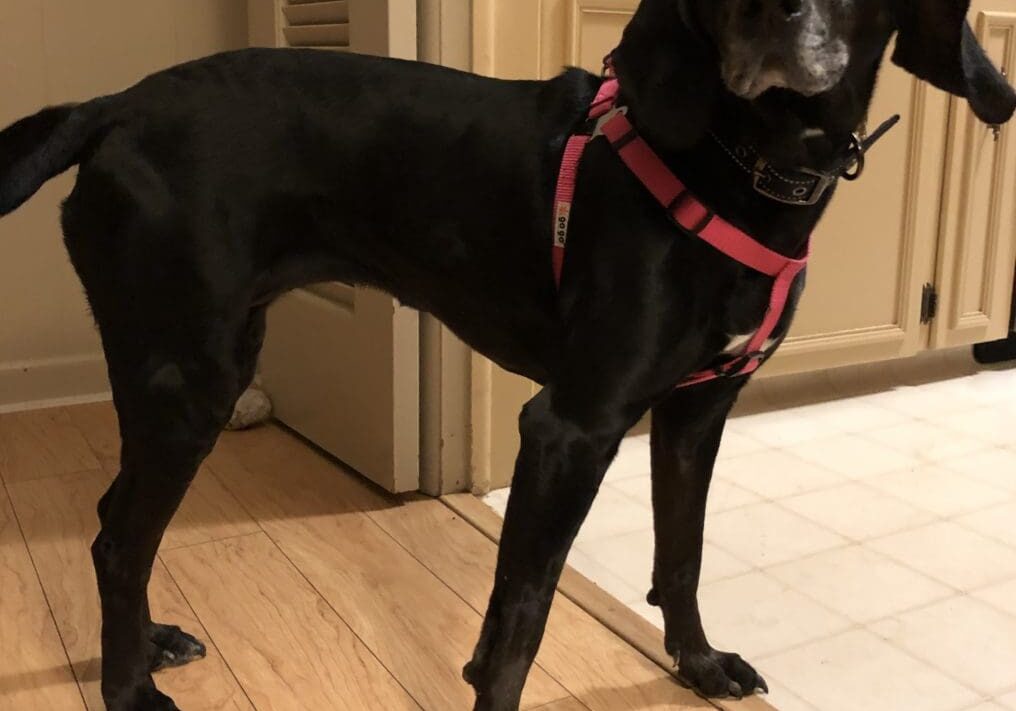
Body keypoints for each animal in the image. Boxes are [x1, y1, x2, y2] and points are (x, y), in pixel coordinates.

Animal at [0, 1, 1011, 711]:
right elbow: (522, 616)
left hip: (201, 364)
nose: (772, 15)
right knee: (120, 539)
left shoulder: (695, 414)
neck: (746, 160)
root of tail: (114, 107)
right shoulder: (570, 426)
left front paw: (698, 663)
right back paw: (130, 688)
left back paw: (148, 643)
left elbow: (679, 555)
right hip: (188, 380)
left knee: (114, 521)